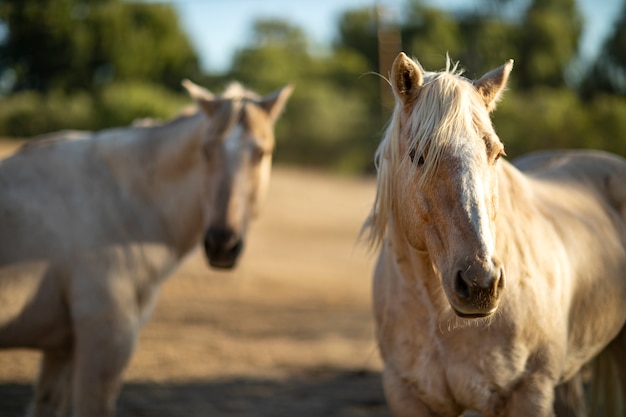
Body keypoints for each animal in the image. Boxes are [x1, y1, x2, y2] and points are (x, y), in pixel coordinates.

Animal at [0, 79, 292, 416]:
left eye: (261, 153)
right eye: (206, 150)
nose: (222, 243)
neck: (126, 203)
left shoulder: (62, 350)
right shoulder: (106, 344)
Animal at [364, 52, 624, 416]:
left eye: (496, 154)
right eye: (418, 156)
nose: (481, 284)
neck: (437, 314)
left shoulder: (530, 393)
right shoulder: (406, 396)